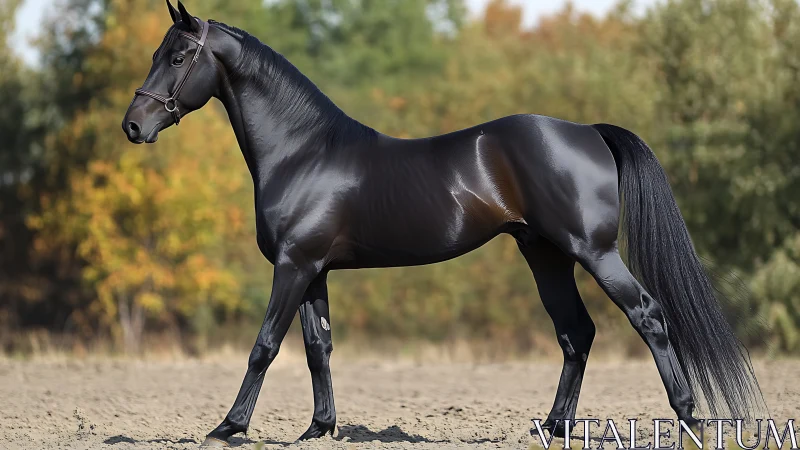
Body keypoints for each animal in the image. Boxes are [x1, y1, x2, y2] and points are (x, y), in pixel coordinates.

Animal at [122, 2, 764, 447]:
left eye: (176, 57)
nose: (133, 125)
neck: (303, 151)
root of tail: (588, 130)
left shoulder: (293, 266)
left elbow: (265, 345)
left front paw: (228, 426)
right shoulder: (313, 269)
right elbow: (317, 347)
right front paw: (318, 429)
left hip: (594, 250)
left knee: (647, 314)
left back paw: (687, 417)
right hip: (544, 252)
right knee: (576, 333)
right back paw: (553, 426)